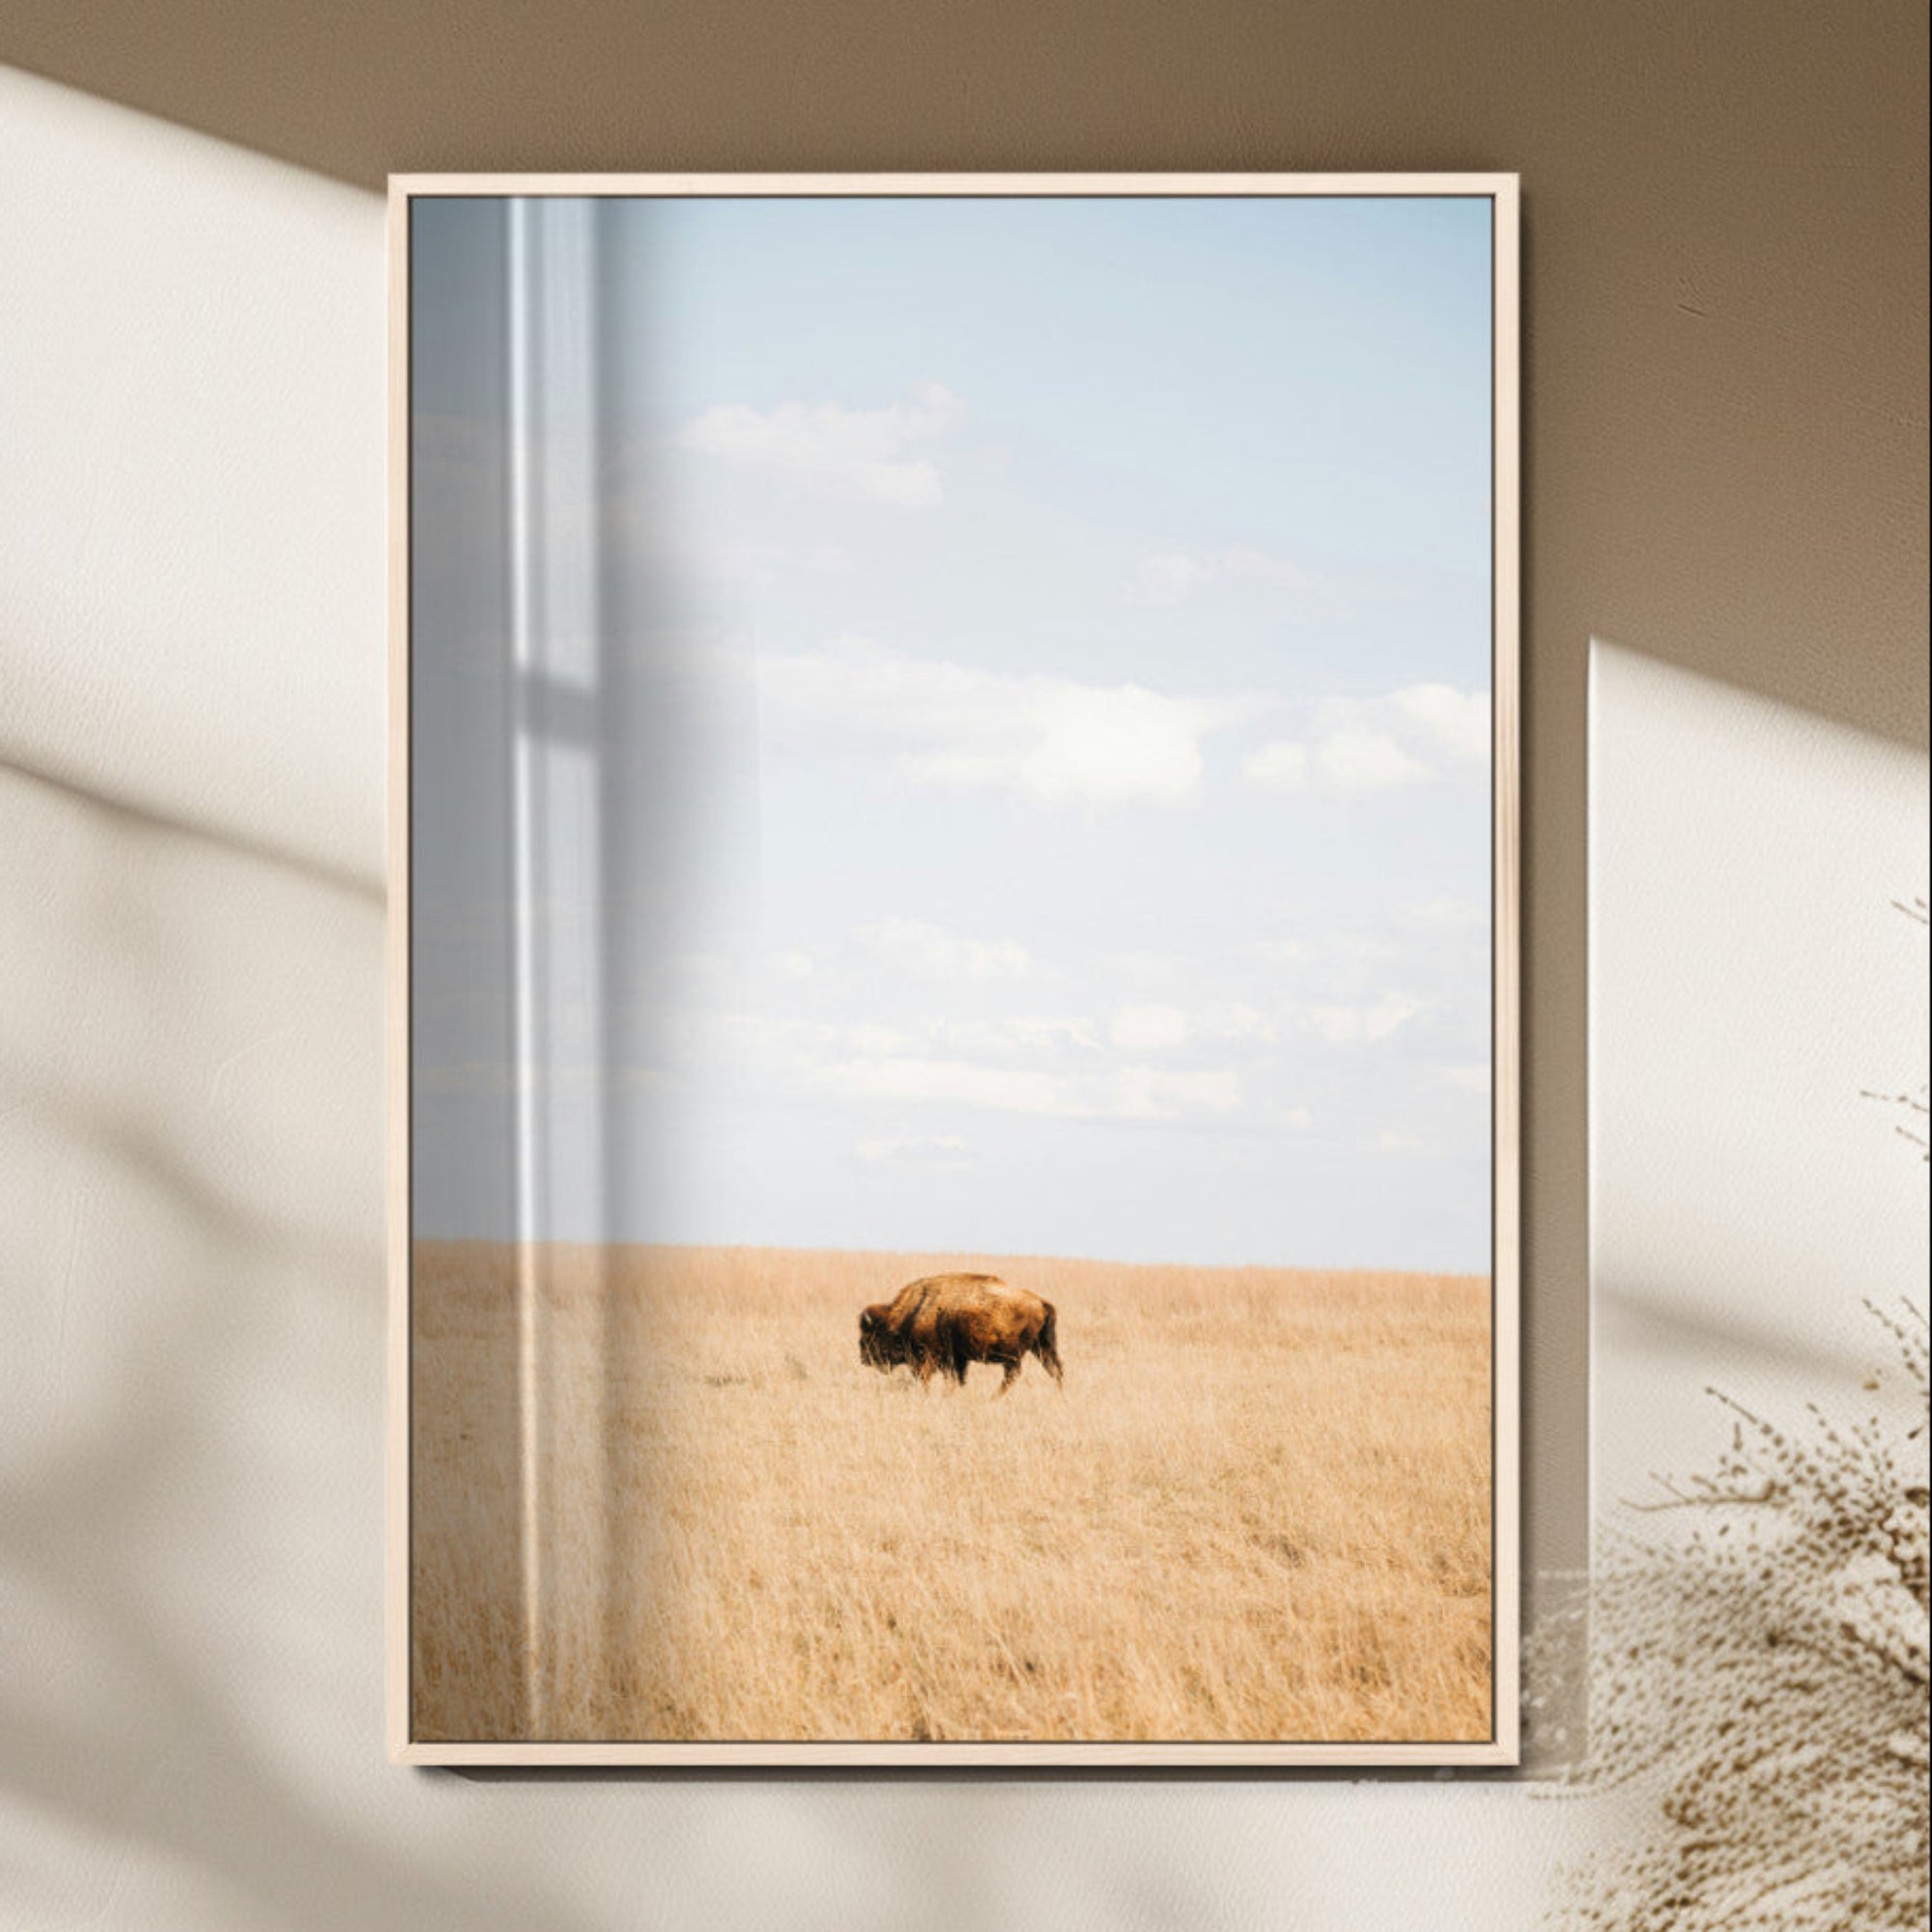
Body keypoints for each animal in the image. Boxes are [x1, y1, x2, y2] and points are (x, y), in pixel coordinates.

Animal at [858, 1272, 1064, 1395]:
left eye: (870, 1337)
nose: (864, 1359)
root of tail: (1041, 1302)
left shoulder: (929, 1356)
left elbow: (926, 1377)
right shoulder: (957, 1359)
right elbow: (957, 1378)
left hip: (1013, 1355)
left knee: (1014, 1375)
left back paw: (994, 1397)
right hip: (1041, 1347)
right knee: (1054, 1368)